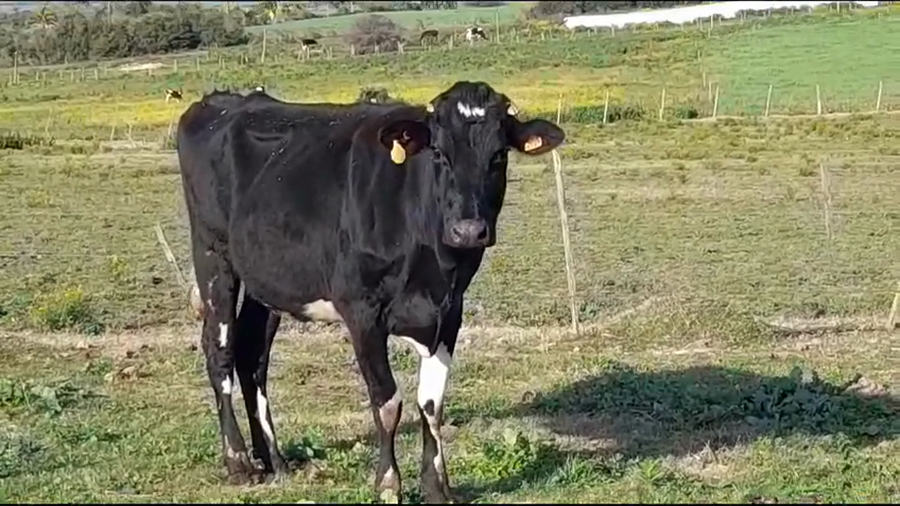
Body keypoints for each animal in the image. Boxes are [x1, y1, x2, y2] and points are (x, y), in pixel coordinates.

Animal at [176, 81, 565, 503]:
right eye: (439, 153)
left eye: (498, 155)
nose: (468, 230)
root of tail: (221, 99)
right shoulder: (361, 311)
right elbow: (387, 403)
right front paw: (389, 484)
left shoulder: (449, 313)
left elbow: (432, 403)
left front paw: (437, 486)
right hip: (213, 256)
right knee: (220, 351)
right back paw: (238, 461)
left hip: (268, 278)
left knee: (251, 355)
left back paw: (273, 458)